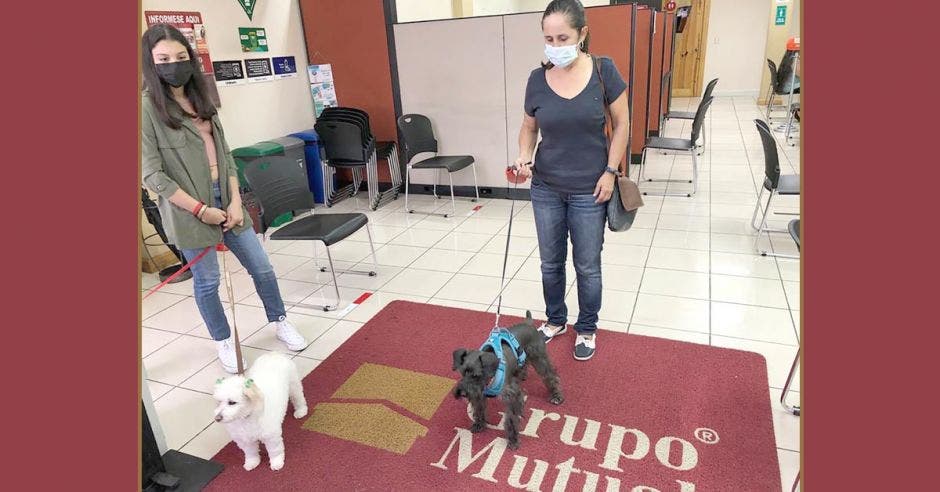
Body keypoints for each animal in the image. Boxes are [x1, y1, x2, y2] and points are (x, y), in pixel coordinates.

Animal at [452, 312, 560, 450]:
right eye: (462, 372)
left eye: (476, 375)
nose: (463, 393)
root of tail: (528, 323)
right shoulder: (479, 394)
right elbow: (479, 409)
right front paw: (479, 424)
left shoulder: (511, 397)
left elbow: (511, 419)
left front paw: (513, 440)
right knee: (523, 364)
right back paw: (522, 375)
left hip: (539, 357)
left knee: (550, 376)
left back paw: (556, 396)